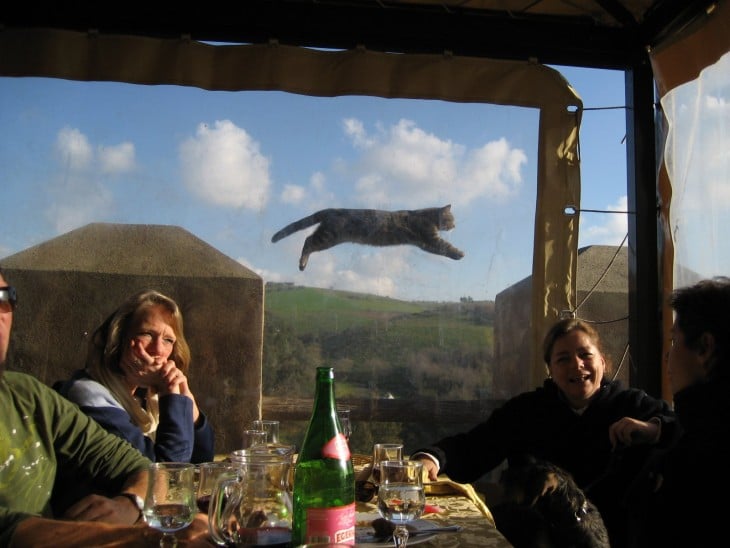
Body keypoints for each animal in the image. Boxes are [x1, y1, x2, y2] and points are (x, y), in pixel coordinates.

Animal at [270, 203, 464, 270]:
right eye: (452, 218)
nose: (455, 225)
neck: (428, 216)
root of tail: (331, 209)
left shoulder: (425, 243)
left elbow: (440, 250)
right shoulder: (429, 238)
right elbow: (445, 246)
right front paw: (459, 253)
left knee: (308, 240)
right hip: (328, 236)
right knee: (308, 241)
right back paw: (302, 264)